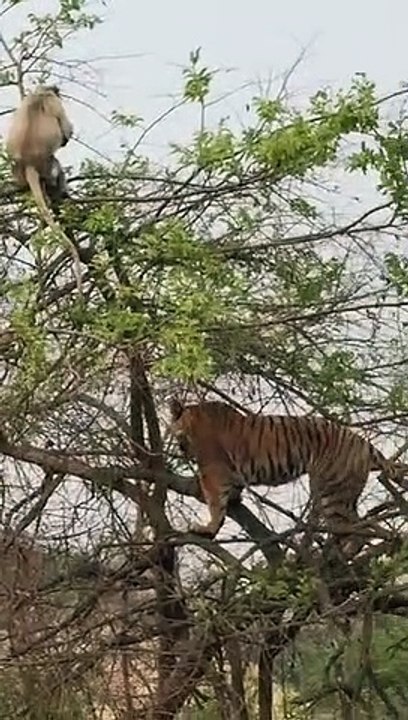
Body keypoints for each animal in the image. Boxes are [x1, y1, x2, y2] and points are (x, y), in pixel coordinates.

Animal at [6, 85, 82, 293]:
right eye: (57, 93)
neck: (40, 93)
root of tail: (28, 163)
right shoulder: (53, 102)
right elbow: (65, 131)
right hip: (47, 166)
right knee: (56, 168)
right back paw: (61, 192)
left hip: (18, 171)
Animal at [169, 398, 408, 552]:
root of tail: (362, 442)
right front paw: (235, 499)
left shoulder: (212, 470)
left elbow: (215, 503)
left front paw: (206, 529)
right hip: (341, 494)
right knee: (358, 526)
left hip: (332, 493)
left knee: (356, 530)